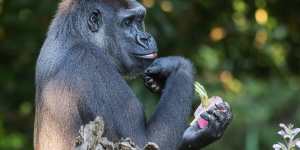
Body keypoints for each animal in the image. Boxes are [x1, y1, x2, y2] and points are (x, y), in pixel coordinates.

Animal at [34, 0, 232, 150]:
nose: (145, 38)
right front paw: (177, 65)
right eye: (127, 23)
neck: (75, 34)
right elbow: (146, 141)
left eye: (139, 20)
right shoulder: (89, 60)